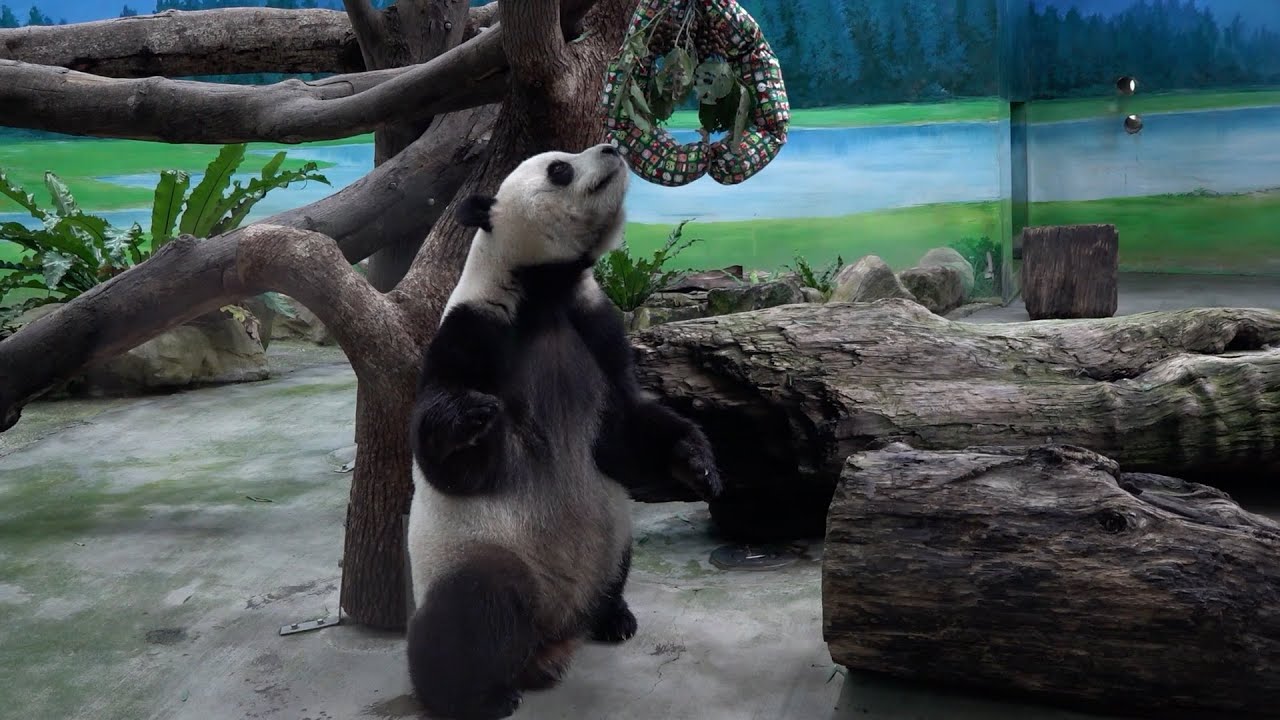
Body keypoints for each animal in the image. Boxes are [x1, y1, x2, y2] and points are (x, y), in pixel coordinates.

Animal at [405, 143, 724, 720]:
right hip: (482, 550)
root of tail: (552, 634)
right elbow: (448, 461)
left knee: (614, 565)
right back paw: (474, 697)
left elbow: (626, 424)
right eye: (559, 168)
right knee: (470, 614)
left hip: (610, 535)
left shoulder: (596, 325)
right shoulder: (474, 327)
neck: (544, 292)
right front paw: (470, 418)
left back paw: (613, 617)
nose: (612, 147)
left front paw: (697, 465)